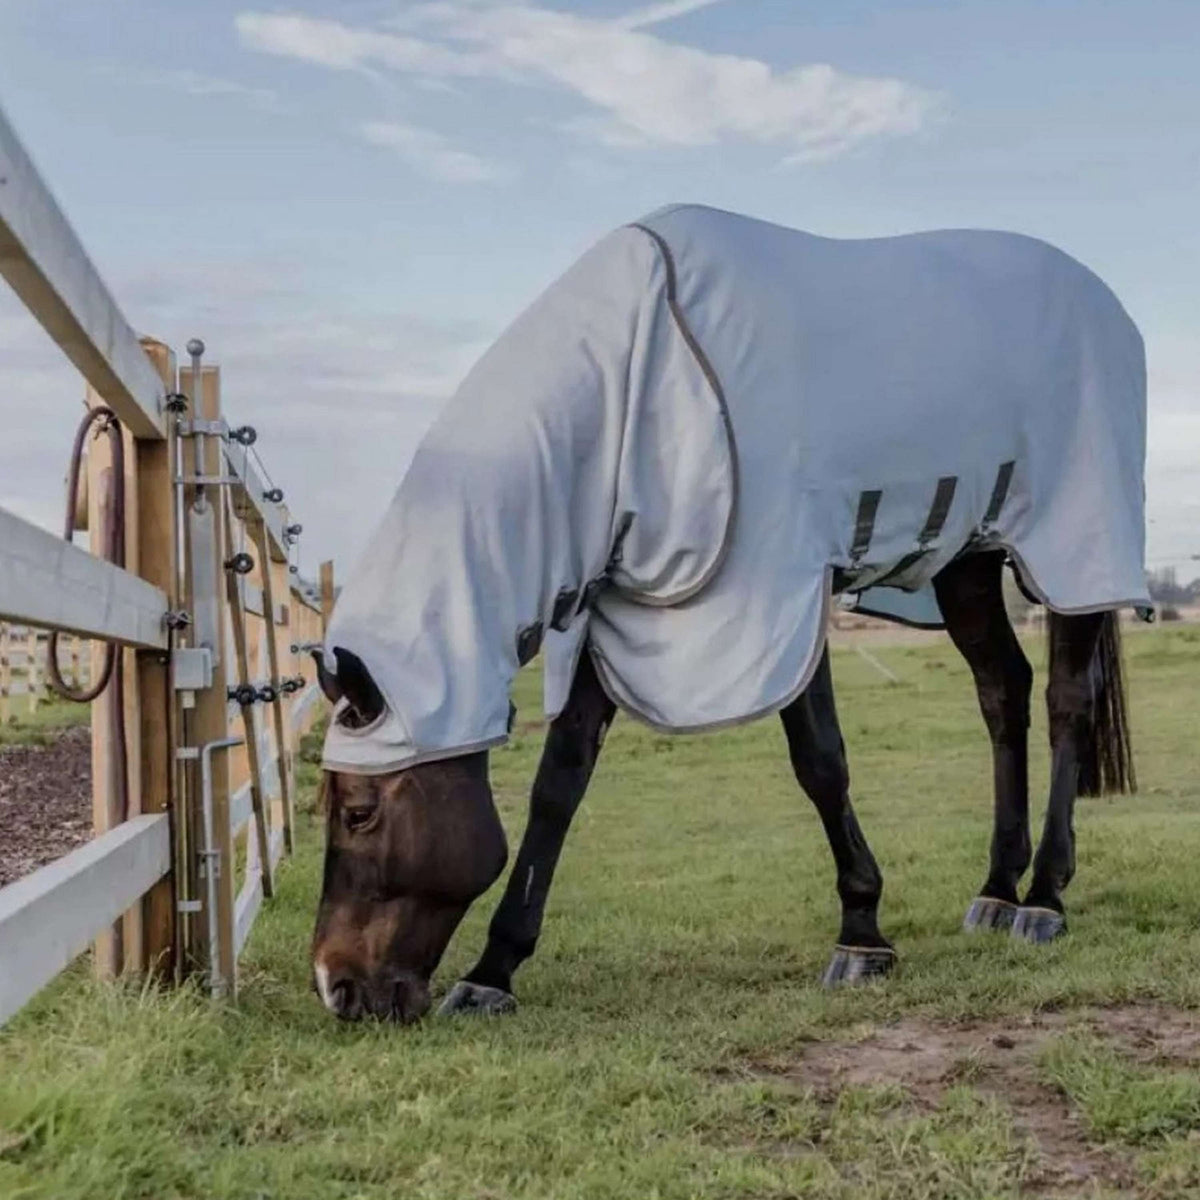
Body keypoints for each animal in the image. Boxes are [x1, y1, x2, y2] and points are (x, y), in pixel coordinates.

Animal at [309, 204, 1142, 1022]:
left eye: (359, 813)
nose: (337, 987)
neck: (637, 380)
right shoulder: (621, 607)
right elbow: (558, 786)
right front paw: (493, 971)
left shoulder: (778, 595)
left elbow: (821, 763)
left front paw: (862, 935)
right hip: (968, 559)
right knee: (1002, 692)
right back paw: (997, 891)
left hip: (1073, 549)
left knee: (1066, 700)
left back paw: (1044, 899)